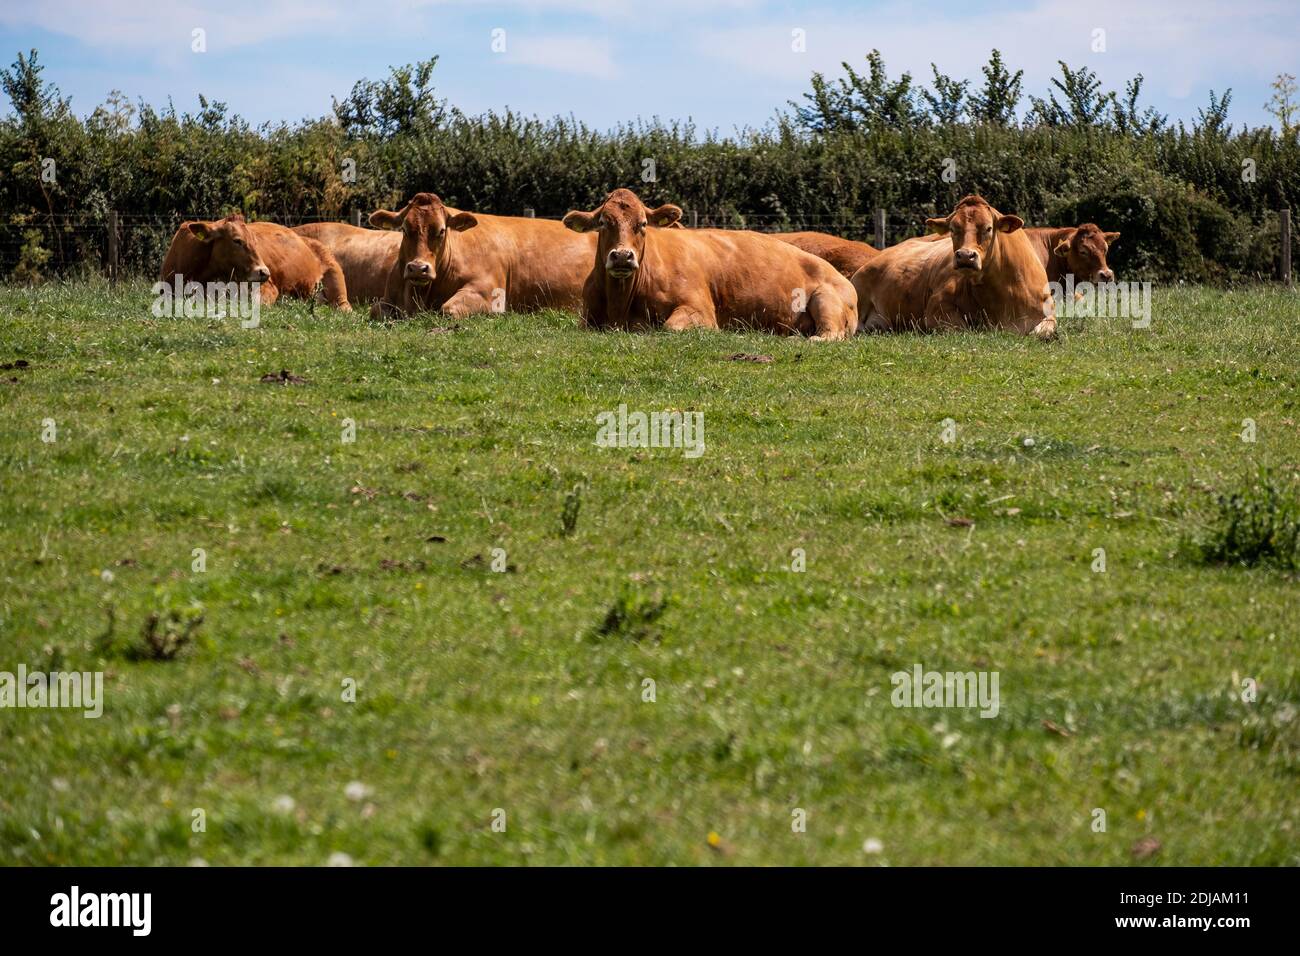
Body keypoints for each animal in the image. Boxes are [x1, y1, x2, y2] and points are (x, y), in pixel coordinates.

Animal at [561, 187, 857, 340]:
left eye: (642, 224)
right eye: (603, 222)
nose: (623, 256)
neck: (619, 305)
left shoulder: (700, 310)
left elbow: (669, 326)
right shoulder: (586, 319)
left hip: (826, 299)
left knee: (831, 334)